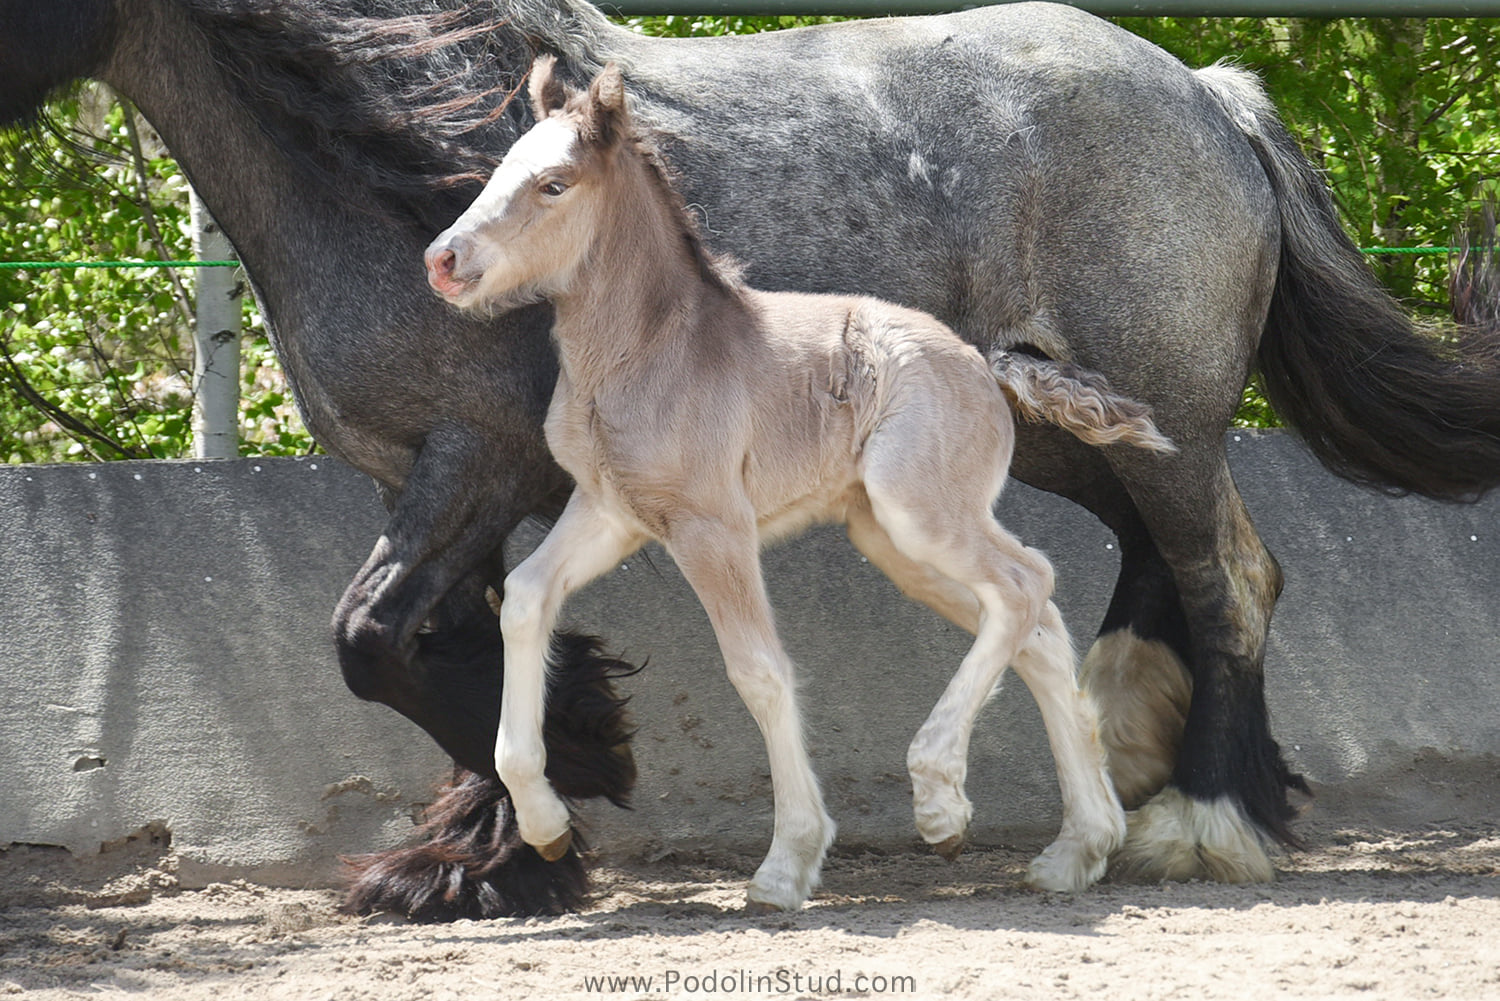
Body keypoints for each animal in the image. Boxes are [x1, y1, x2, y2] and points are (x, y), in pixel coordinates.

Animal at [5, 0, 1494, 924]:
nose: (456, 259)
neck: (381, 161)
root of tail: (1212, 94)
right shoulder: (445, 486)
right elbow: (459, 643)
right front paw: (491, 852)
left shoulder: (467, 468)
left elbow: (375, 641)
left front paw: (564, 786)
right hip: (1059, 430)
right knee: (1140, 568)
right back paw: (1146, 772)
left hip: (1157, 415)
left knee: (1229, 569)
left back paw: (1207, 814)